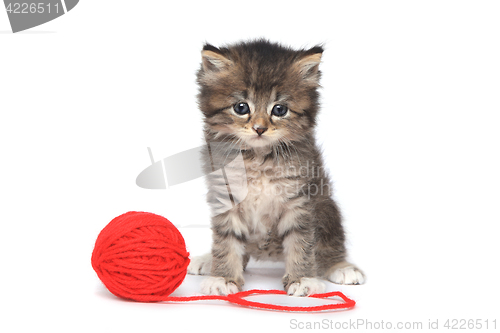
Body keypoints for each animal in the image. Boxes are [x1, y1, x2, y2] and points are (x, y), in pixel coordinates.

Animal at [188, 39, 364, 296]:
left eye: (279, 109)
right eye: (241, 107)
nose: (260, 128)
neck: (257, 158)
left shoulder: (301, 199)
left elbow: (302, 241)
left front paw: (302, 279)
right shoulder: (225, 195)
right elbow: (226, 240)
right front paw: (223, 277)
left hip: (327, 207)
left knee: (329, 243)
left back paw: (340, 266)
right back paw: (209, 260)